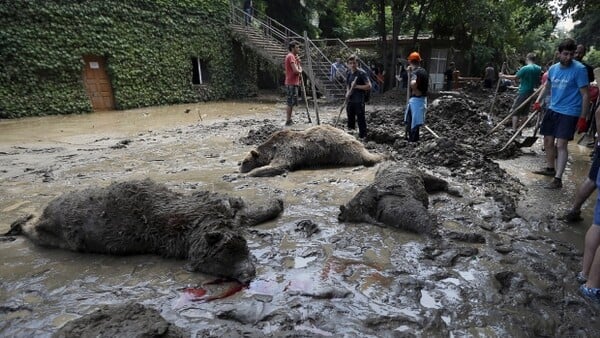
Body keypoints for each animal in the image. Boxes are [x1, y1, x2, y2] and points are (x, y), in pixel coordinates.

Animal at [5, 178, 284, 284]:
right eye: (223, 258)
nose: (247, 275)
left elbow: (244, 211)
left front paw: (275, 204)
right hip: (53, 227)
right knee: (35, 229)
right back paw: (19, 223)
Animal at [239, 124, 384, 177]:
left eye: (245, 162)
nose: (240, 169)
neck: (272, 148)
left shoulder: (286, 150)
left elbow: (279, 165)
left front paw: (251, 173)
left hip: (343, 149)